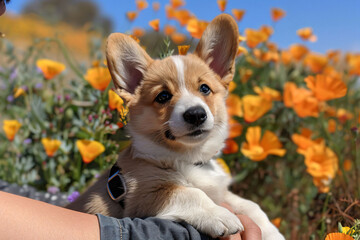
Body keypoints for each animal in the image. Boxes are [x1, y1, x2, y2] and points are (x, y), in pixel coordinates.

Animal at [67, 13, 284, 240]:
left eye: (204, 88)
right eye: (163, 96)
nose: (196, 114)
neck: (189, 158)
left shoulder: (220, 191)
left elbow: (250, 205)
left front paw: (272, 232)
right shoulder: (146, 194)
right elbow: (191, 193)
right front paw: (220, 214)